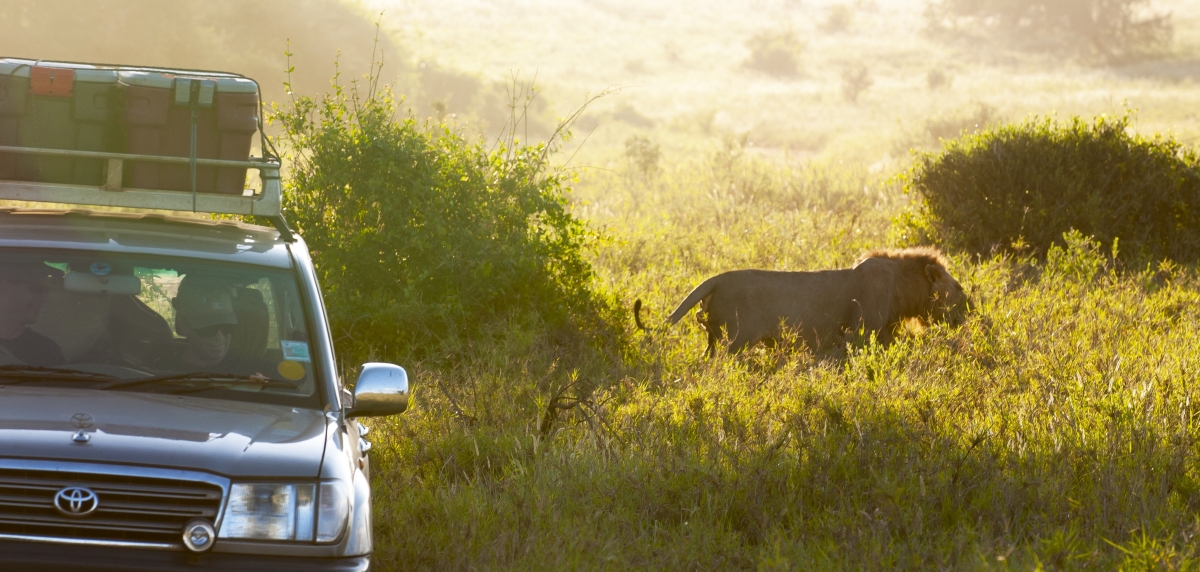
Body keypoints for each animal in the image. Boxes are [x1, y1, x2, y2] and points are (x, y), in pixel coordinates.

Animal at [638, 245, 964, 357]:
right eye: (958, 287)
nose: (969, 308)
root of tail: (716, 278)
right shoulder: (861, 332)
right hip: (737, 340)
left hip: (713, 339)